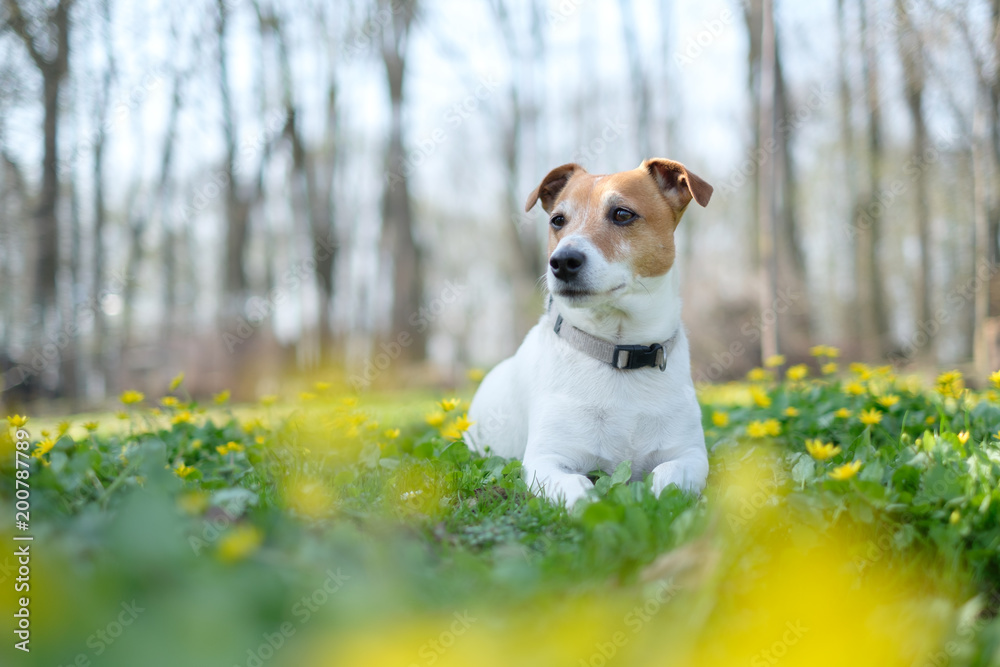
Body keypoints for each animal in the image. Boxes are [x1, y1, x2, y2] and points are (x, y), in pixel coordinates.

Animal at [466, 160, 712, 506]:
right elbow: (580, 491)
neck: (620, 351)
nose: (561, 261)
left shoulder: (689, 454)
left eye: (622, 214)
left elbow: (668, 477)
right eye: (558, 220)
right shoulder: (546, 460)